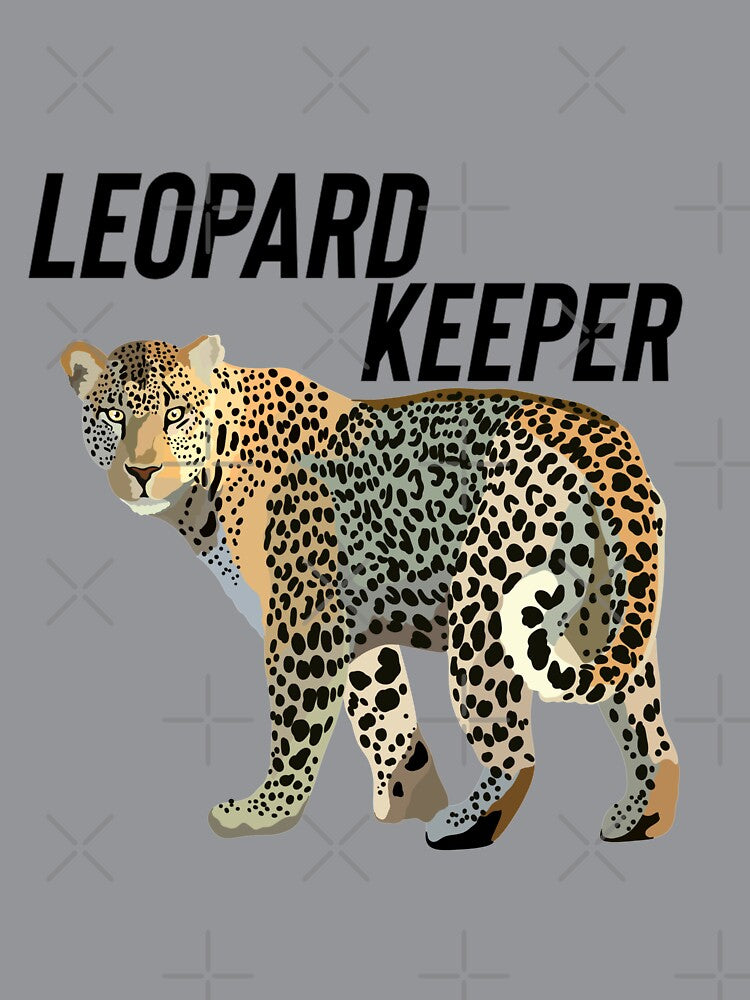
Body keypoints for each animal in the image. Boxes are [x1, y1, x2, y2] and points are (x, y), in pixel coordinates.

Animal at [60, 334, 679, 850]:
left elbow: (297, 722)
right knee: (647, 722)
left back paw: (465, 826)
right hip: (609, 606)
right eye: (114, 415)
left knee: (515, 749)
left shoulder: (304, 621)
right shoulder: (356, 630)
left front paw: (266, 812)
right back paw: (639, 817)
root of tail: (603, 436)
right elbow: (385, 714)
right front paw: (407, 798)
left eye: (175, 414)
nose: (142, 472)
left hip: (485, 604)